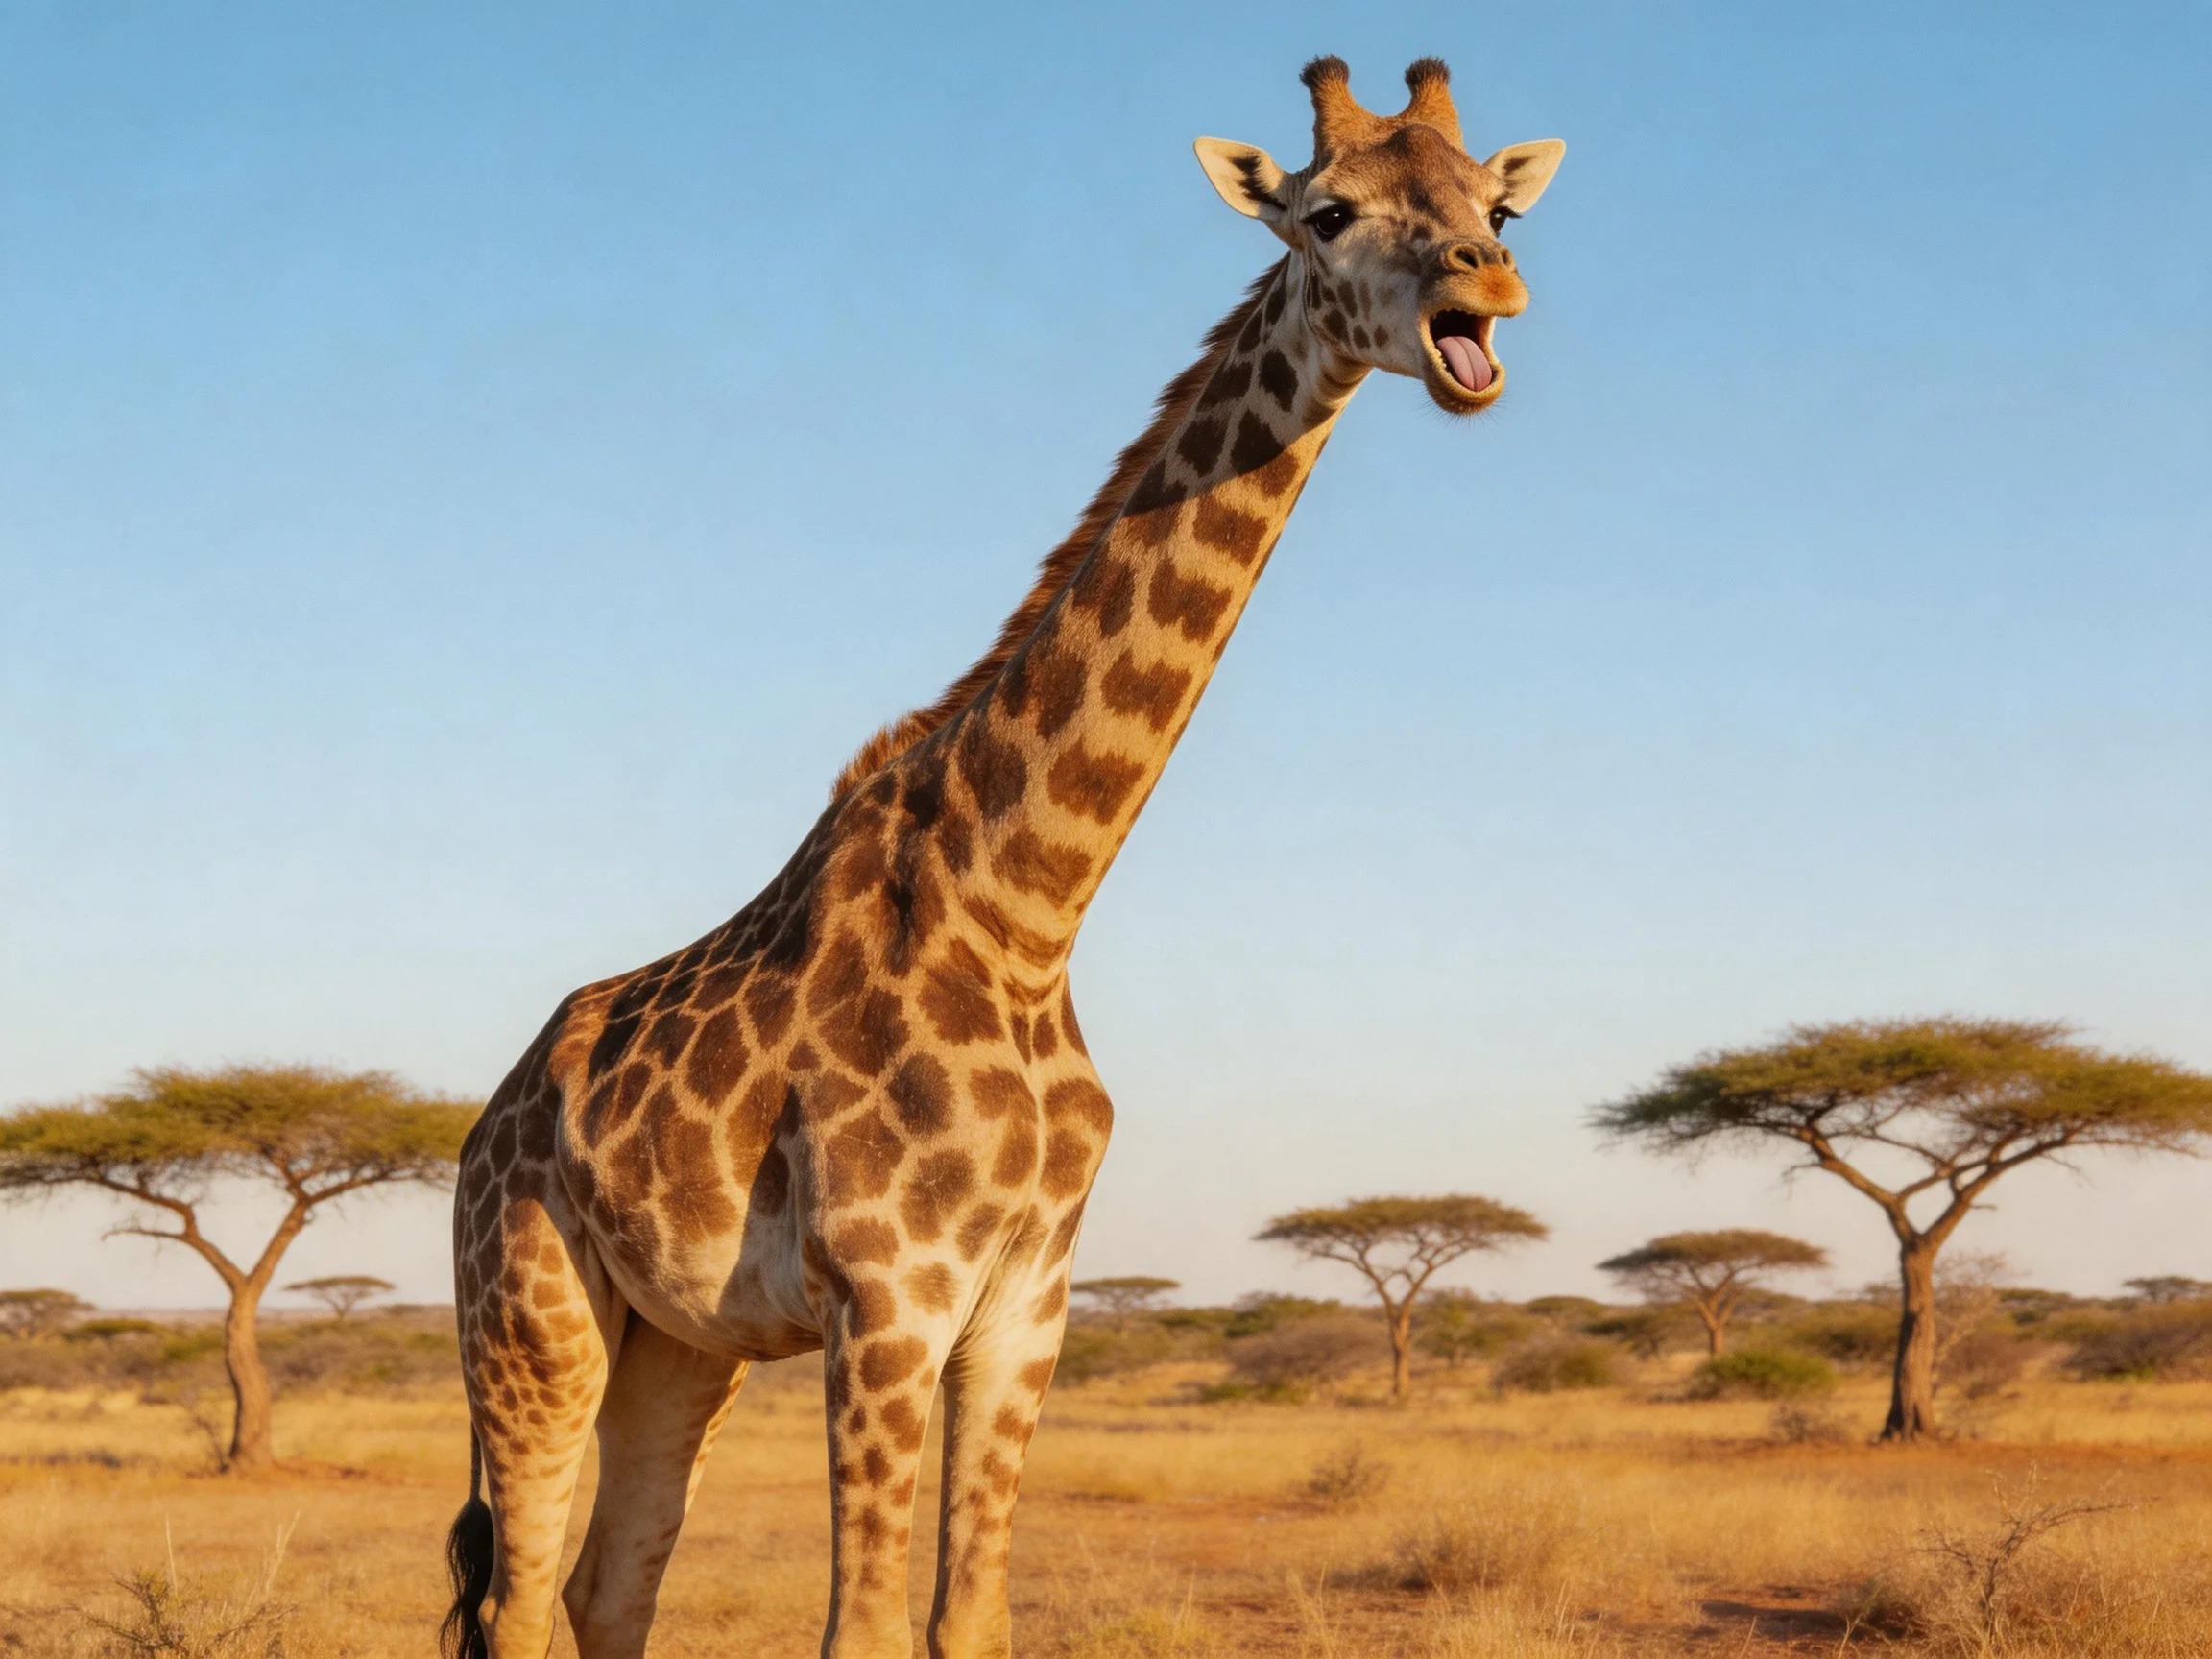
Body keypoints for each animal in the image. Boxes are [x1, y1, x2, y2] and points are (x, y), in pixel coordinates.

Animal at [442, 56, 1563, 1659]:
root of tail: (488, 1121)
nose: (1489, 284)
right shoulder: (888, 1299)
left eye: (1498, 204)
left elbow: (969, 1618)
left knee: (613, 1584)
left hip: (678, 1343)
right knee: (523, 1594)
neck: (1027, 908)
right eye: (1327, 211)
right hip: (529, 1316)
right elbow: (860, 1628)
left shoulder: (1028, 1303)